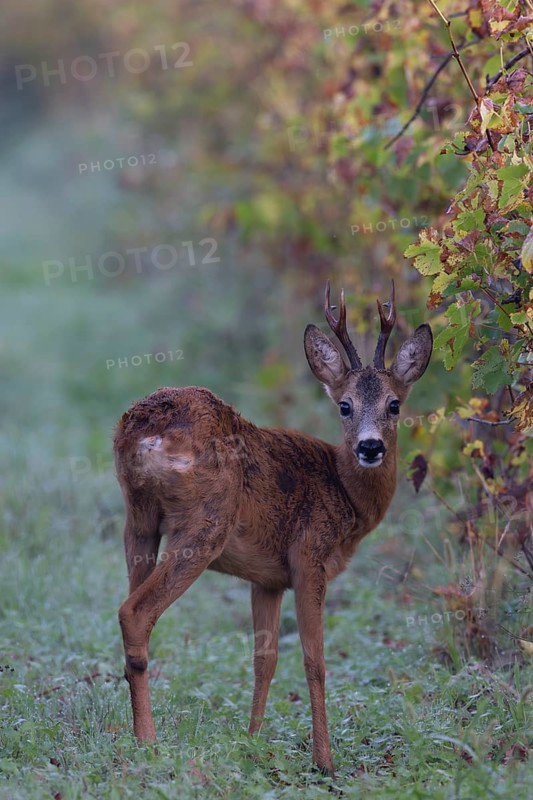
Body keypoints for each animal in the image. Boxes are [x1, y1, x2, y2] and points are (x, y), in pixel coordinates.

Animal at [114, 280, 432, 776]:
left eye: (394, 404)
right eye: (345, 405)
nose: (370, 447)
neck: (344, 493)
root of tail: (145, 430)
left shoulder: (266, 579)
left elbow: (264, 657)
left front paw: (252, 739)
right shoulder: (309, 557)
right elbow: (314, 660)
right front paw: (324, 762)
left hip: (139, 519)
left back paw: (135, 732)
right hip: (205, 523)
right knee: (135, 611)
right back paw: (148, 741)